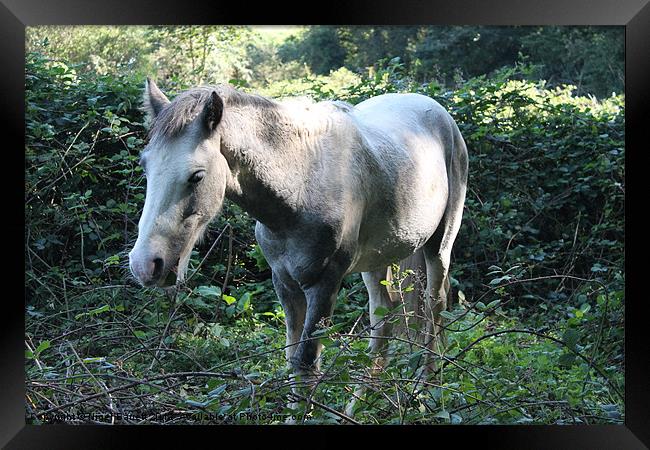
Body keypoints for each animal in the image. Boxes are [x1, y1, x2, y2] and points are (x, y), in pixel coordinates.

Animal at [126, 79, 466, 416]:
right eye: (145, 165)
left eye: (196, 176)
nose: (145, 264)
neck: (300, 184)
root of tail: (438, 112)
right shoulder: (285, 284)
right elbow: (293, 361)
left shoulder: (323, 286)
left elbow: (306, 362)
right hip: (377, 261)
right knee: (384, 321)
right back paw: (356, 408)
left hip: (438, 247)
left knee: (433, 308)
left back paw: (425, 394)